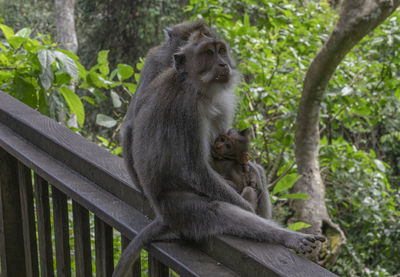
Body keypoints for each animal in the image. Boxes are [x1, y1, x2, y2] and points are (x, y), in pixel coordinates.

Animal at [113, 27, 324, 274]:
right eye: (208, 53)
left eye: (221, 50)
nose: (223, 64)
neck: (194, 85)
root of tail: (163, 215)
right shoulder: (187, 111)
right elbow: (196, 169)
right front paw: (248, 206)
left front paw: (248, 168)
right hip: (180, 209)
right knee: (219, 211)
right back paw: (287, 236)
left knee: (255, 176)